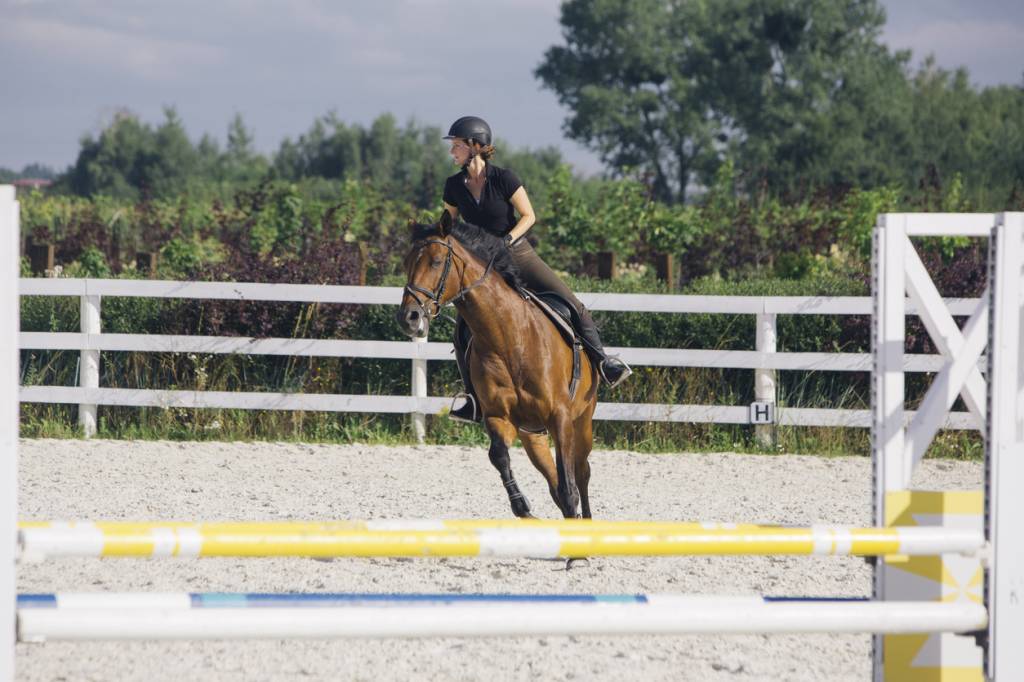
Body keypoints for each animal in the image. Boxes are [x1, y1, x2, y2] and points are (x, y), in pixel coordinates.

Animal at [393, 218, 598, 516]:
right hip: (532, 434)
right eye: (407, 262)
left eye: (436, 261)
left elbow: (570, 487)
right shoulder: (497, 416)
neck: (509, 338)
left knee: (581, 473)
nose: (409, 317)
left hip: (582, 421)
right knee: (552, 479)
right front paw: (523, 507)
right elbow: (499, 456)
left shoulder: (560, 417)